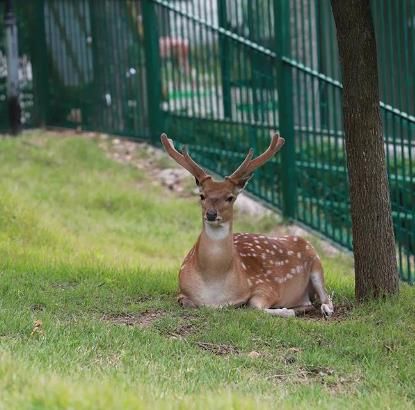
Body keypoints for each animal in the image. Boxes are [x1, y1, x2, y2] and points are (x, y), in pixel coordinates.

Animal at [159, 133, 334, 318]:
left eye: (230, 197)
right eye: (202, 195)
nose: (211, 214)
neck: (213, 287)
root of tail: (304, 240)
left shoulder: (268, 286)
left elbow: (255, 305)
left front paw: (286, 310)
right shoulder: (181, 290)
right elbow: (186, 302)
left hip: (317, 264)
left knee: (325, 297)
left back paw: (323, 309)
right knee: (310, 302)